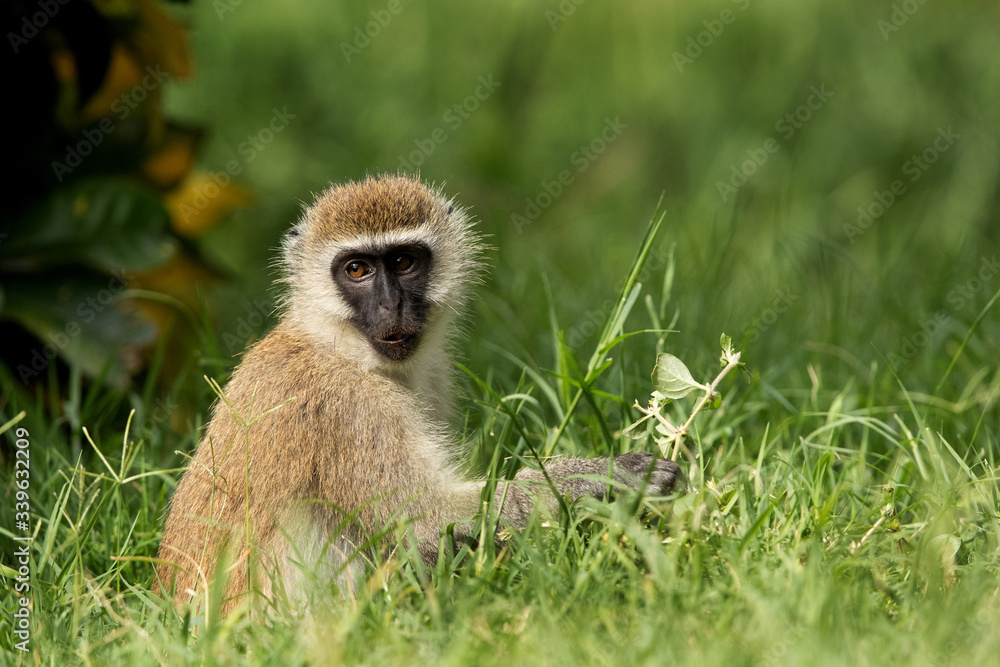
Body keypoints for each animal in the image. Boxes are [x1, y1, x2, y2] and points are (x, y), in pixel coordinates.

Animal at [155, 174, 683, 615]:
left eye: (404, 262)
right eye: (357, 270)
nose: (392, 304)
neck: (340, 348)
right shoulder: (352, 410)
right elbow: (425, 518)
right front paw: (597, 477)